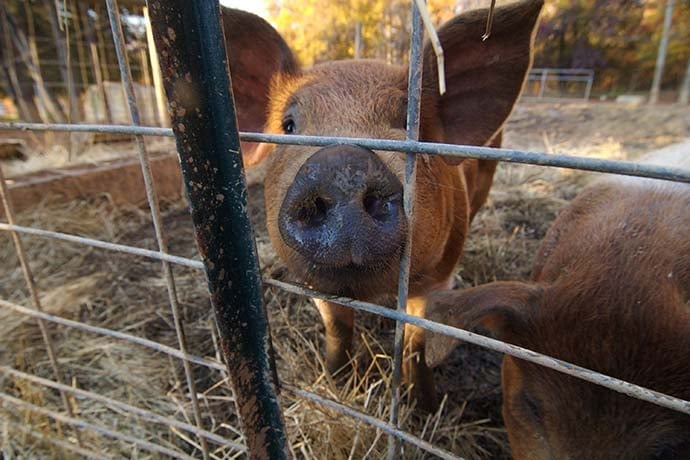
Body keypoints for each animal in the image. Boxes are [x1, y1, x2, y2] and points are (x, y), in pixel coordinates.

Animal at [220, 0, 544, 410]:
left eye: (409, 124)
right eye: (289, 125)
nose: (342, 164)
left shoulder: (439, 278)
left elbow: (417, 341)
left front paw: (424, 406)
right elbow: (338, 330)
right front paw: (337, 382)